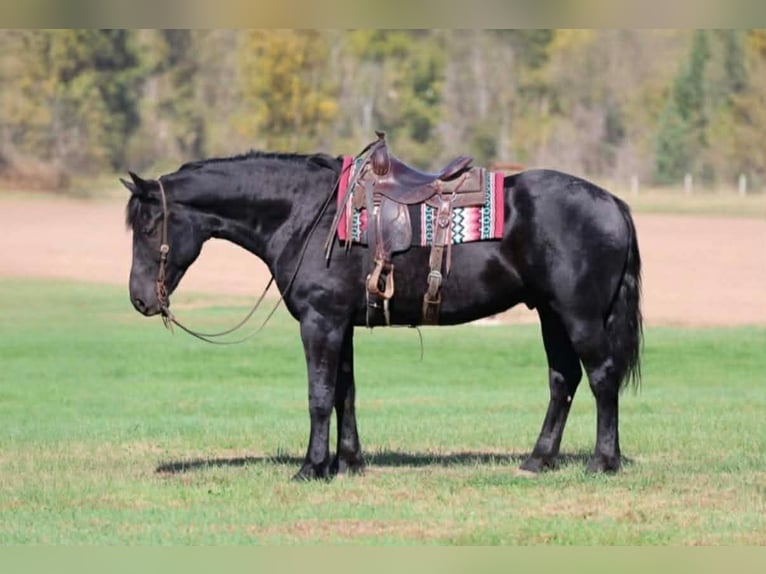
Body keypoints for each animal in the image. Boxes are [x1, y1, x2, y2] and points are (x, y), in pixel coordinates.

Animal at [123, 146, 642, 481]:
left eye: (149, 226)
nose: (140, 299)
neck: (306, 214)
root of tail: (612, 202)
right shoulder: (341, 324)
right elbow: (344, 394)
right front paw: (348, 462)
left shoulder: (320, 322)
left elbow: (319, 395)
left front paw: (312, 468)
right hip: (550, 314)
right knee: (563, 381)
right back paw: (538, 460)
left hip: (578, 316)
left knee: (601, 377)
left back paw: (603, 461)